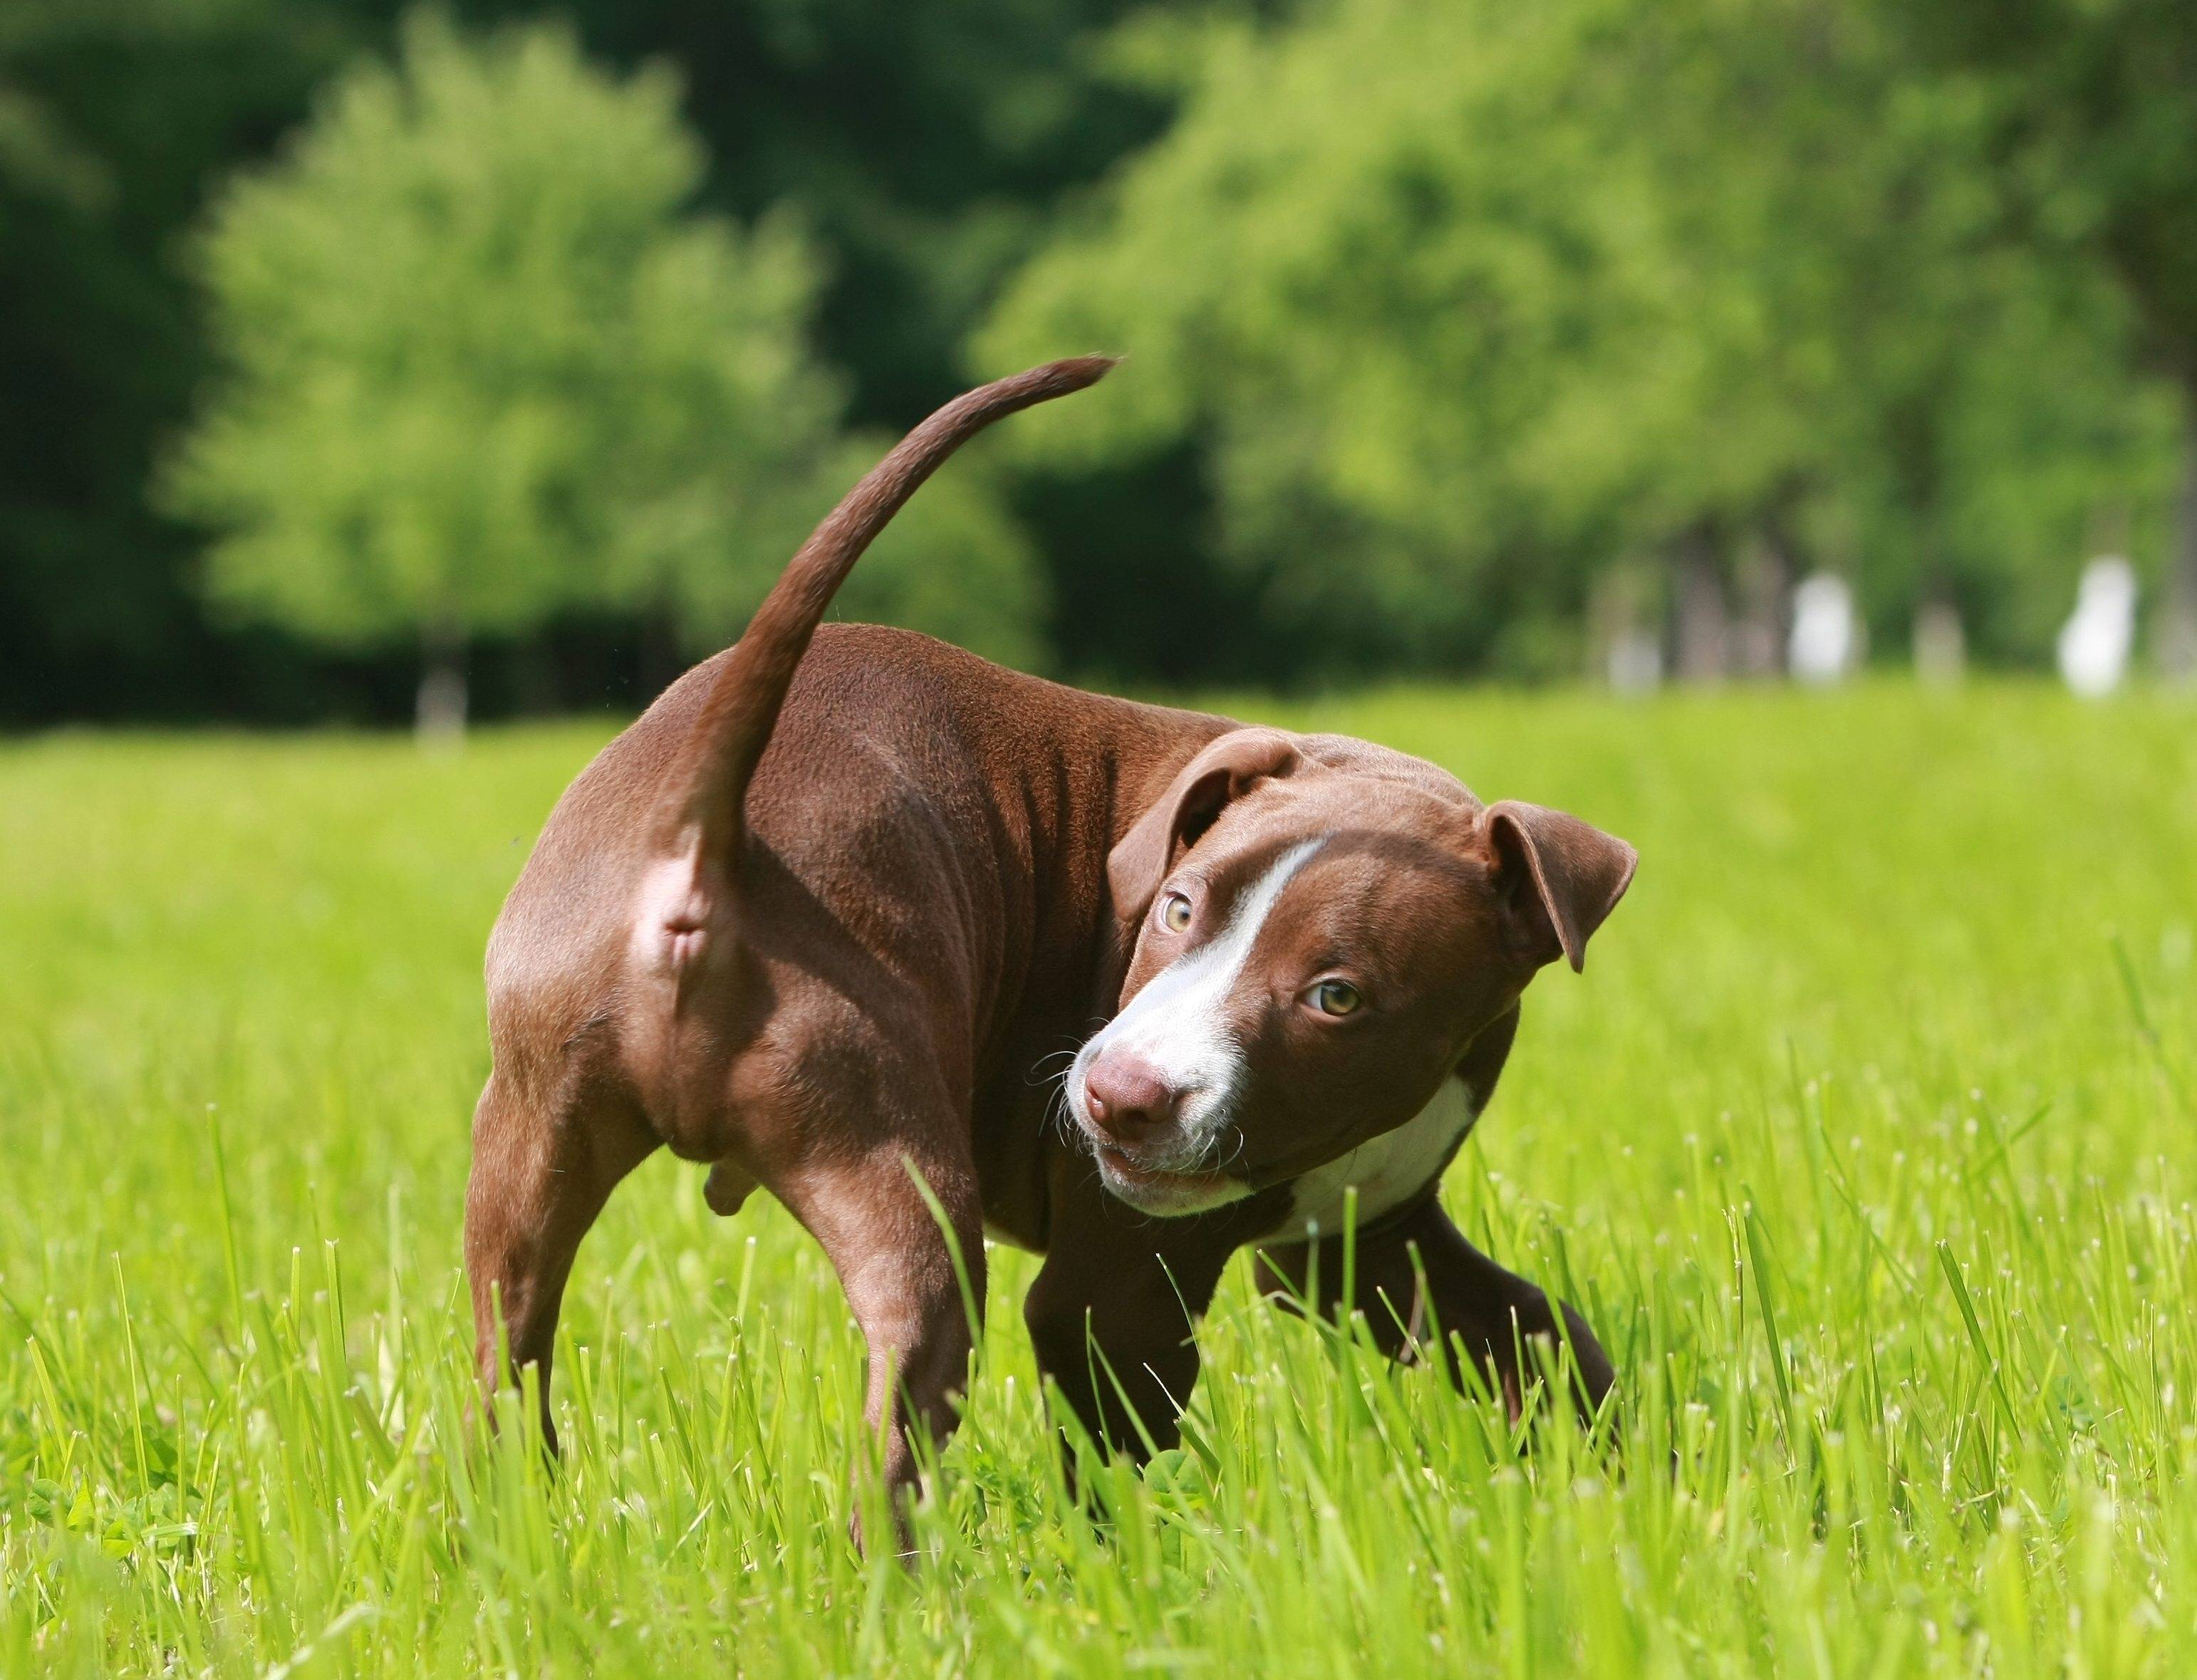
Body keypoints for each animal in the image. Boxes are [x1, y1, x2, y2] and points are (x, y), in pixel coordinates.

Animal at [463, 360, 1634, 1537]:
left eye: (1338, 996)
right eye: (1176, 909)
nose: (1120, 1098)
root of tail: (703, 843)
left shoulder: (1359, 1238)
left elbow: (1542, 1334)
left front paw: (1627, 1478)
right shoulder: (1119, 1288)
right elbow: (1111, 1463)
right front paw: (1126, 1567)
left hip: (526, 1143)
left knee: (507, 1353)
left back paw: (512, 1529)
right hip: (892, 1168)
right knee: (901, 1407)